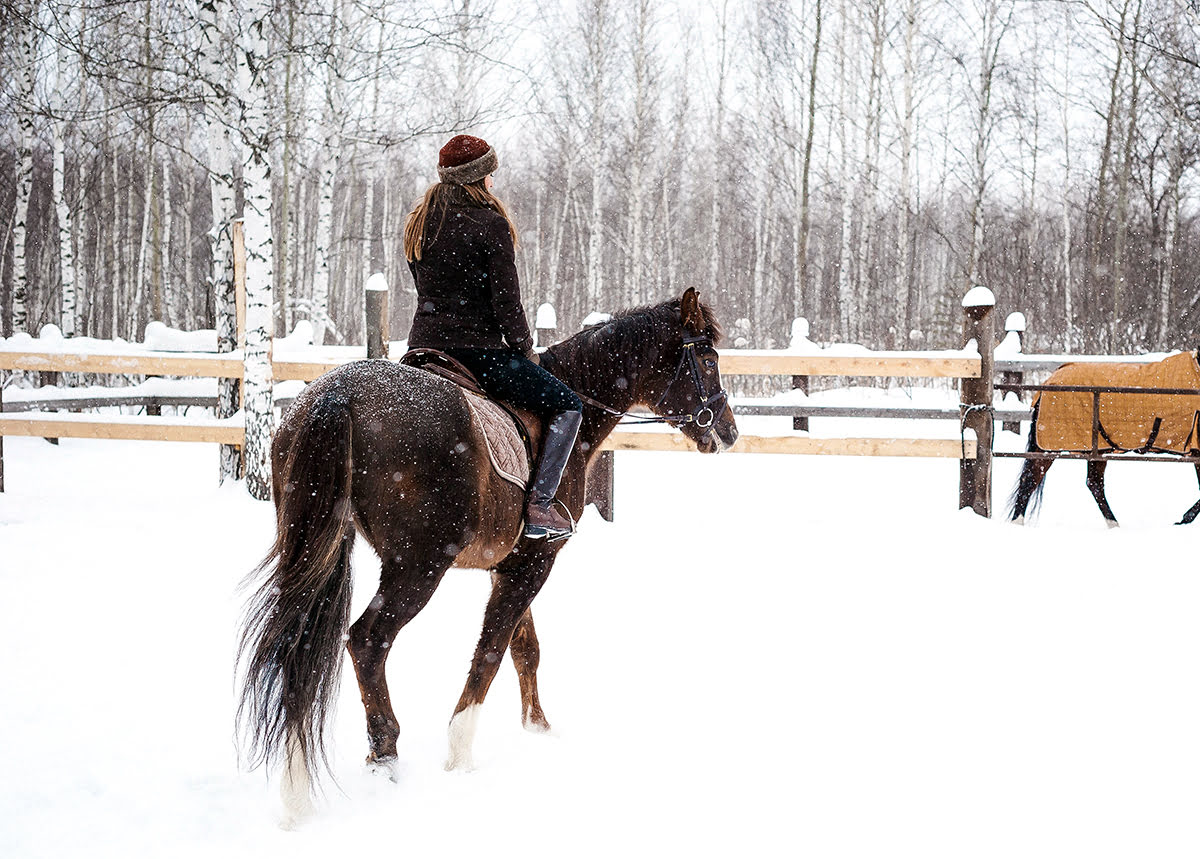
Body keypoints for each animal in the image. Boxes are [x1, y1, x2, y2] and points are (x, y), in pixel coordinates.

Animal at [235, 290, 739, 825]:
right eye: (708, 359)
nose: (728, 432)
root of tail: (338, 397)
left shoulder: (510, 564)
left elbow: (525, 648)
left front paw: (538, 729)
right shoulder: (536, 560)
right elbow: (492, 651)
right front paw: (460, 754)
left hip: (316, 547)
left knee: (302, 640)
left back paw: (299, 785)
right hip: (418, 566)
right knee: (368, 640)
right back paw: (384, 755)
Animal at [1003, 347, 1200, 523]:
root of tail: (1048, 381)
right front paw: (1183, 520)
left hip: (1097, 449)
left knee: (1093, 483)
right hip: (1049, 447)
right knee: (1031, 479)